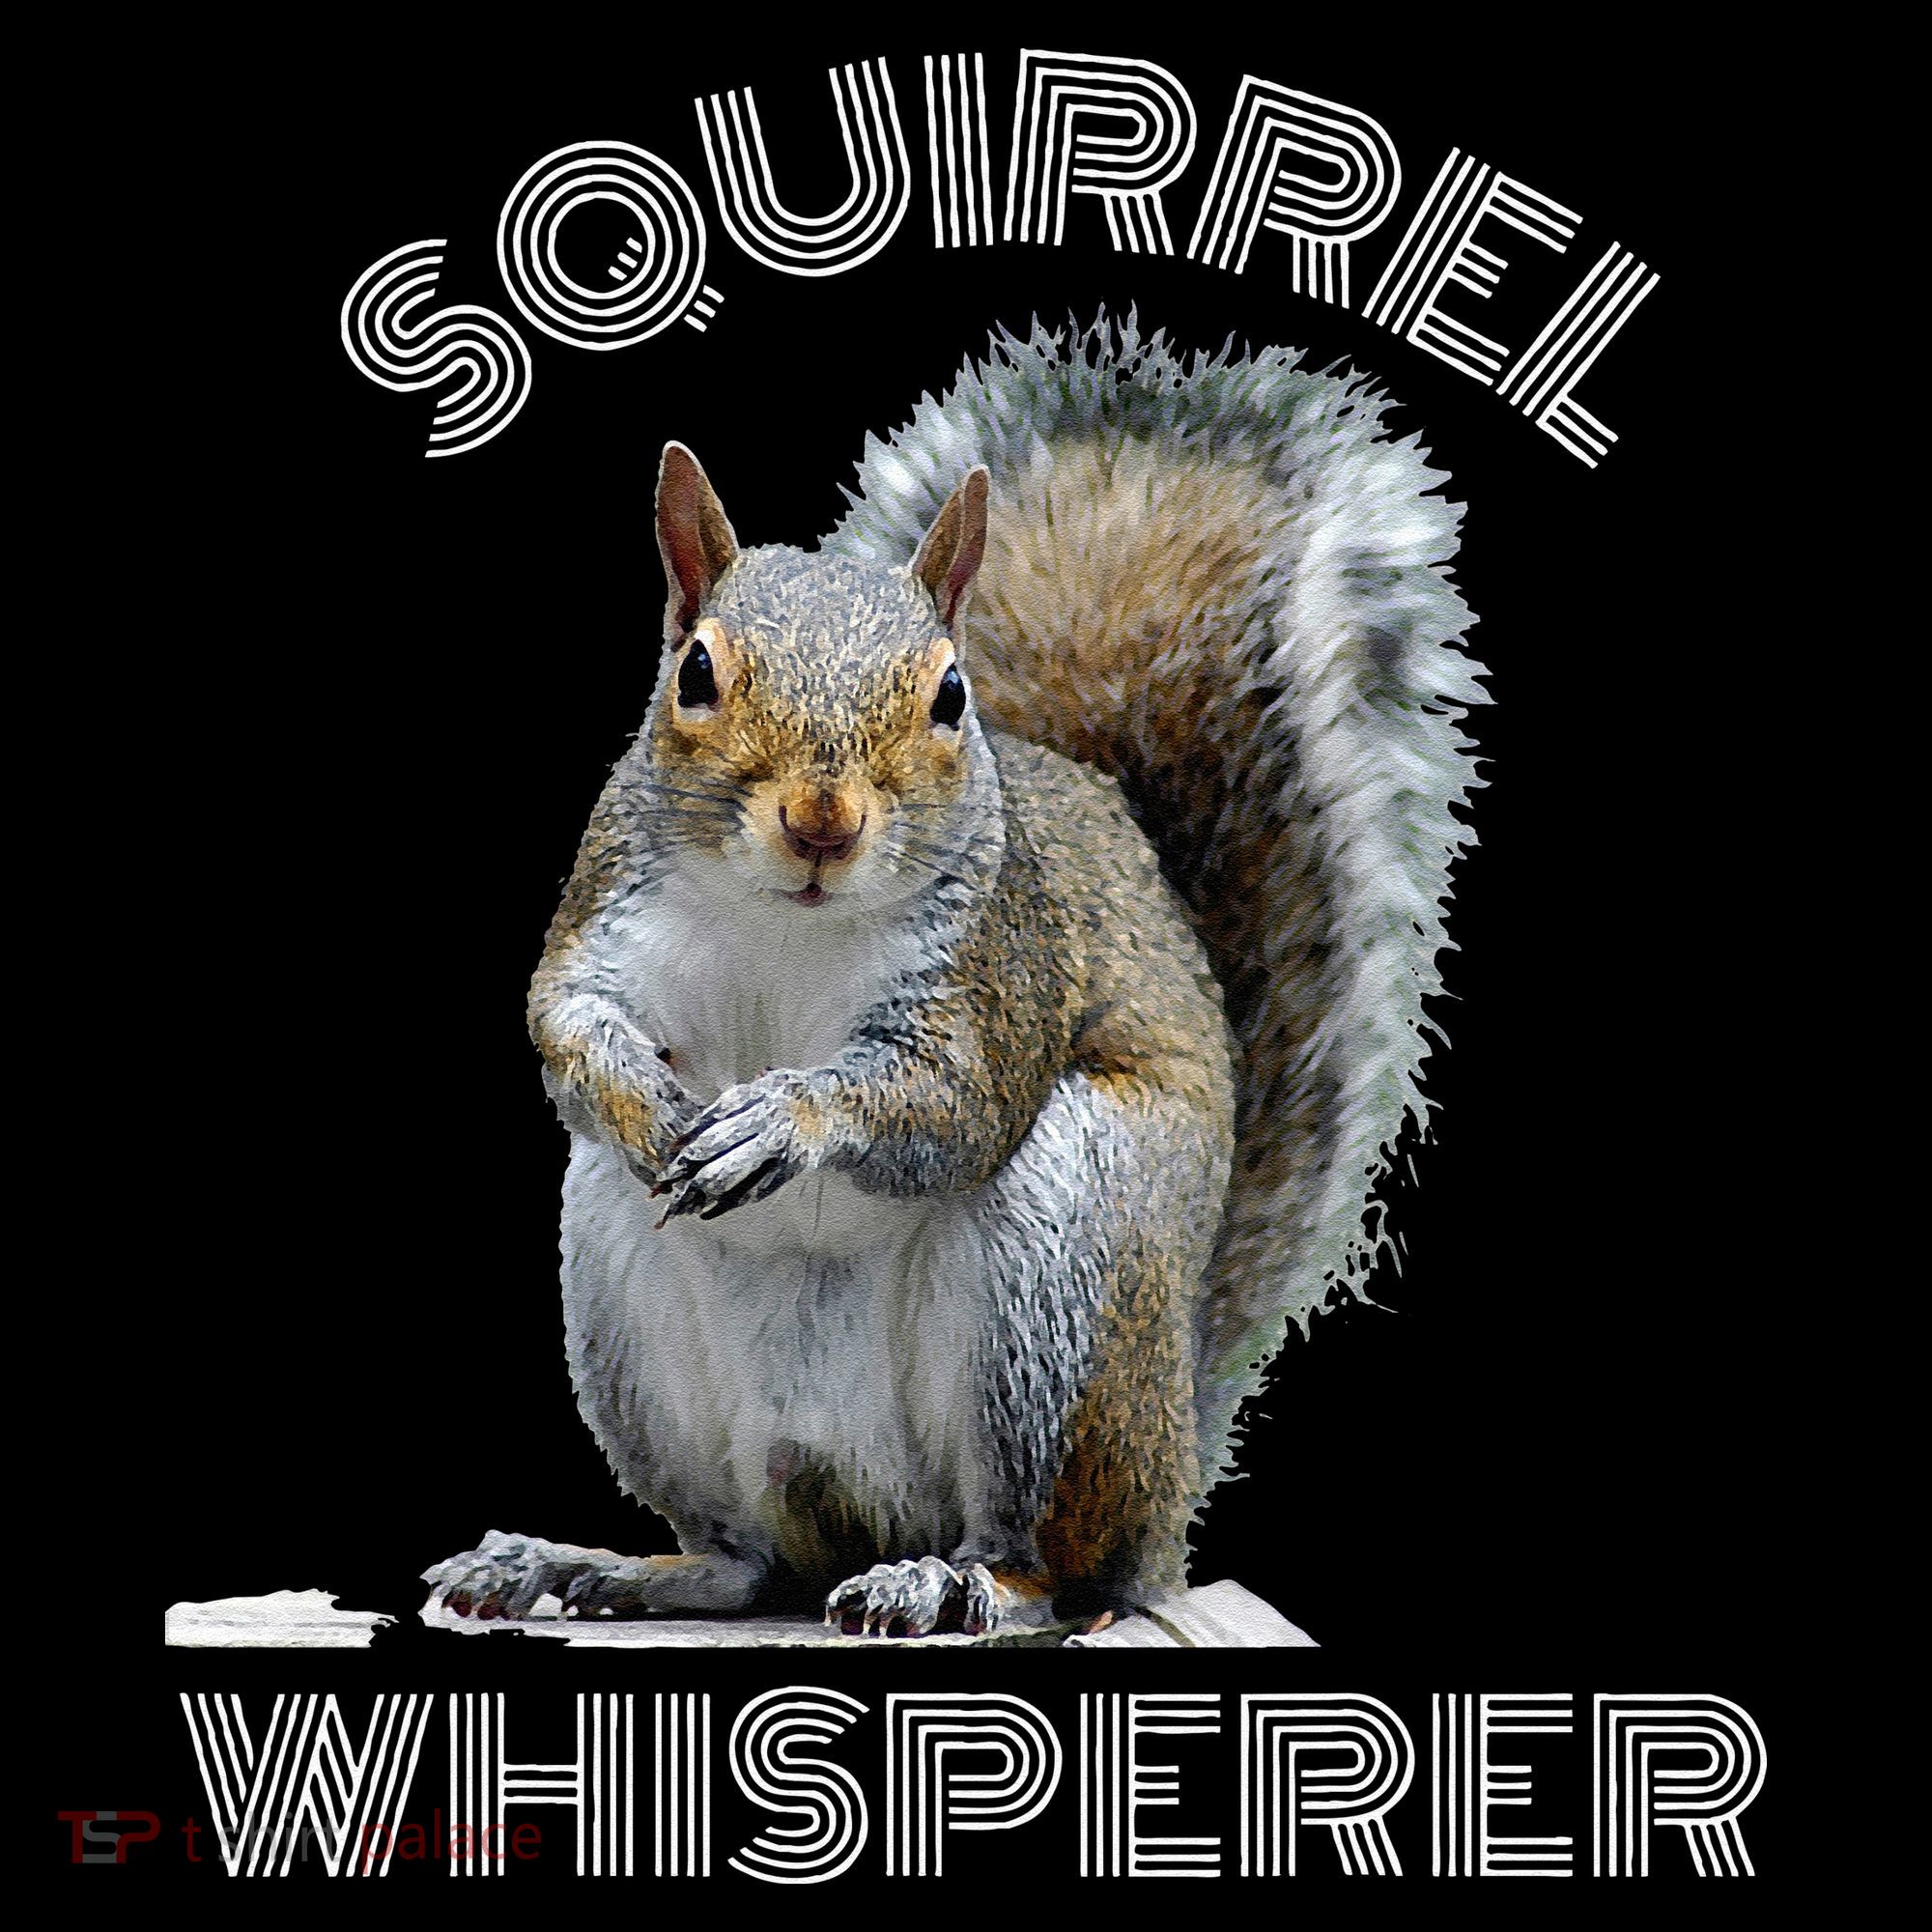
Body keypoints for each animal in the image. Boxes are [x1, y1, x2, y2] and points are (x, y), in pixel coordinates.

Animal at [424, 316, 1482, 1638]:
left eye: (948, 692)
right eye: (696, 674)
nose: (820, 821)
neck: (790, 919)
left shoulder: (997, 970)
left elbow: (951, 1099)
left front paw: (782, 1117)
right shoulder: (609, 907)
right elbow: (565, 1018)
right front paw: (642, 1097)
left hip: (1064, 1267)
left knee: (1049, 1560)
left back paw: (950, 1577)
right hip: (625, 1298)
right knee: (742, 1558)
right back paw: (593, 1564)